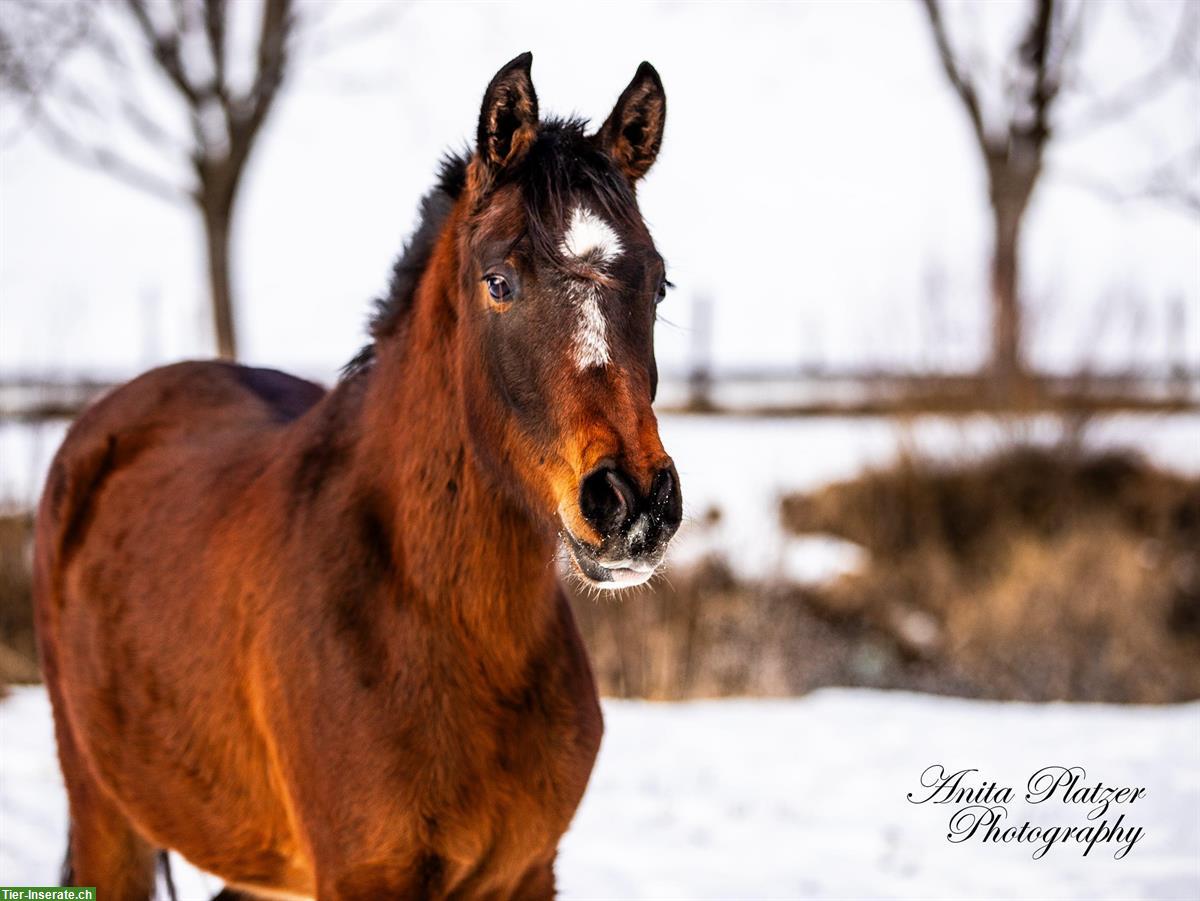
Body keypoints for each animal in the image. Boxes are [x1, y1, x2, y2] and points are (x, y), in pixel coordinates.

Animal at [32, 56, 681, 901]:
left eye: (659, 285)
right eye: (499, 281)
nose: (632, 503)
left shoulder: (527, 873)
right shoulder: (363, 875)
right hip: (107, 817)